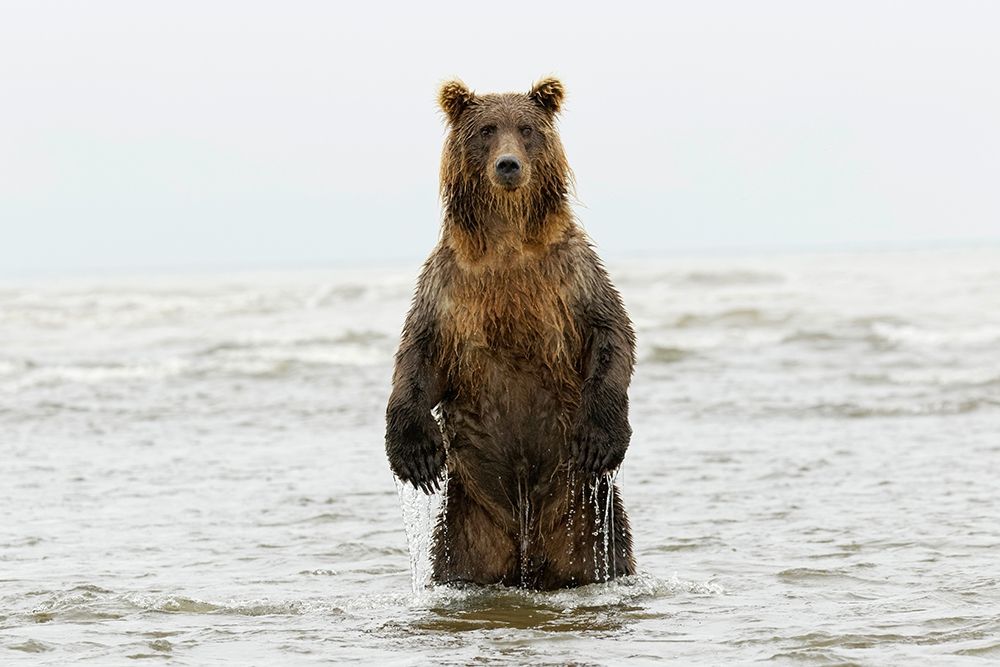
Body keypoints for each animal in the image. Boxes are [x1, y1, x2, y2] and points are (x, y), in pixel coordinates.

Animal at [385, 77, 636, 590]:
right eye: (486, 130)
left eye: (525, 128)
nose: (508, 164)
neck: (507, 239)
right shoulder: (448, 287)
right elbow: (418, 355)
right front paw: (415, 454)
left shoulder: (571, 275)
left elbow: (612, 334)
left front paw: (599, 440)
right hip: (465, 530)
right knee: (458, 563)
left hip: (588, 520)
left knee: (609, 553)